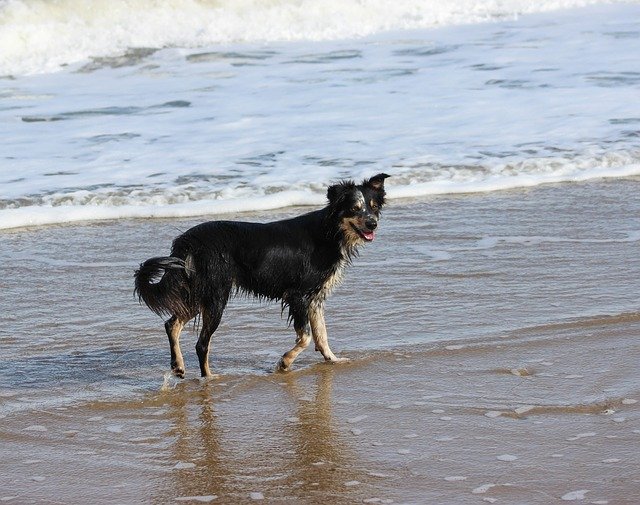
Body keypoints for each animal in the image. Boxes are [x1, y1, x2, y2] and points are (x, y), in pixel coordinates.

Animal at [134, 172, 390, 374]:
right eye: (354, 209)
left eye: (374, 207)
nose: (372, 224)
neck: (330, 231)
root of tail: (188, 241)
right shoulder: (298, 295)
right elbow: (306, 337)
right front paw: (284, 362)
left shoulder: (315, 298)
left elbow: (321, 334)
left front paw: (333, 360)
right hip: (215, 295)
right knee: (201, 343)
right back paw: (210, 378)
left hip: (200, 292)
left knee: (171, 324)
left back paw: (178, 366)